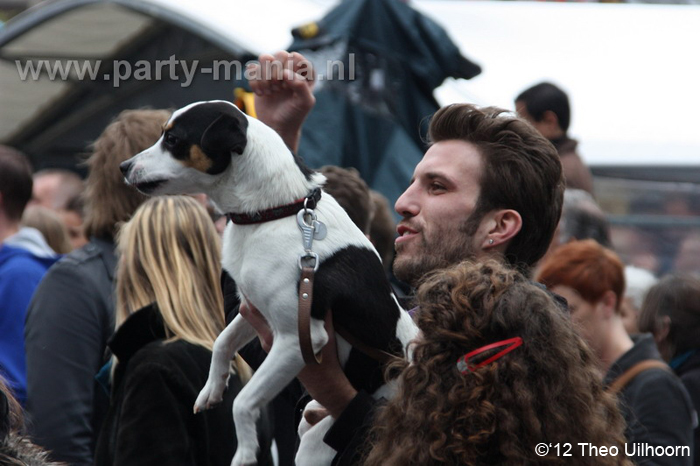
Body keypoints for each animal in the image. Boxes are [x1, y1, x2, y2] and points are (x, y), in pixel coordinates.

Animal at [119, 102, 416, 466]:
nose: (123, 166)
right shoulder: (254, 309)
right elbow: (222, 342)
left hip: (315, 445)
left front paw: (245, 452)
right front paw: (212, 388)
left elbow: (244, 402)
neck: (275, 210)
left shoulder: (297, 338)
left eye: (173, 139)